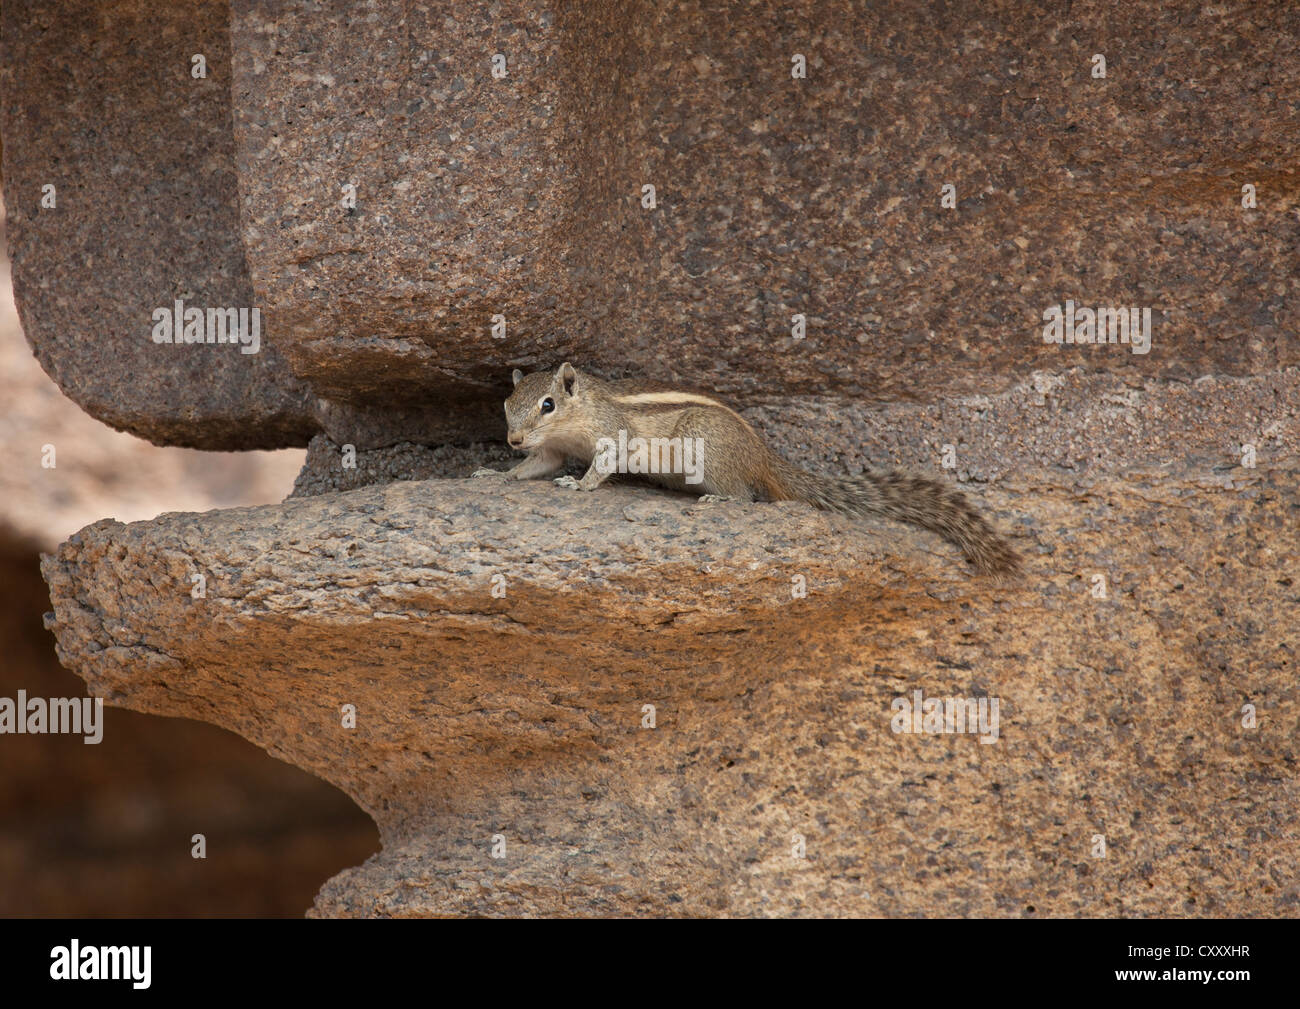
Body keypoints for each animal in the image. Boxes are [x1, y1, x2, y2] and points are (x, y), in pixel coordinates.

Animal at [473, 362, 1021, 577]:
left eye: (547, 404)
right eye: (506, 404)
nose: (512, 440)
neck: (580, 413)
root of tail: (764, 455)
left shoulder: (614, 434)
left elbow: (603, 463)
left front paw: (579, 484)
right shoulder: (547, 450)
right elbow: (534, 466)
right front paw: (496, 475)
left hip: (704, 447)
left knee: (748, 496)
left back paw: (719, 498)